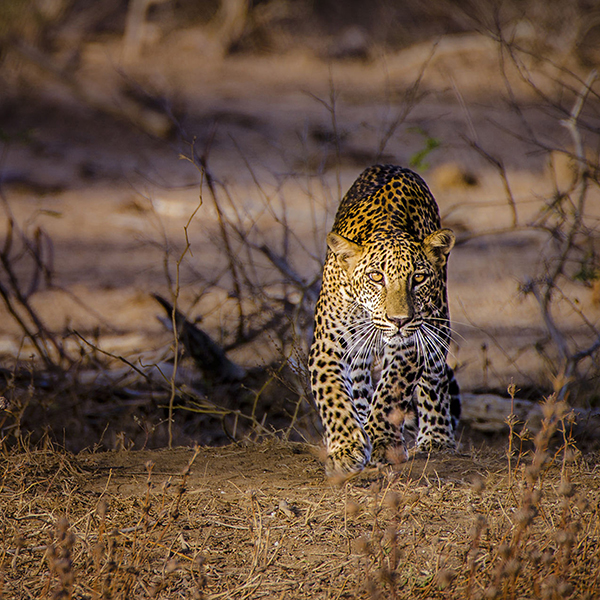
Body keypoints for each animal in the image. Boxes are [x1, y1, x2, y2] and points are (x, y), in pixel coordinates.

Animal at [310, 162, 460, 476]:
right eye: (376, 277)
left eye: (418, 278)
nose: (399, 320)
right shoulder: (327, 344)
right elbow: (333, 395)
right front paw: (346, 448)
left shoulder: (411, 342)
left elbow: (392, 390)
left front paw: (381, 440)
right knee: (359, 381)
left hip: (437, 324)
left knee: (435, 379)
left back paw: (436, 437)